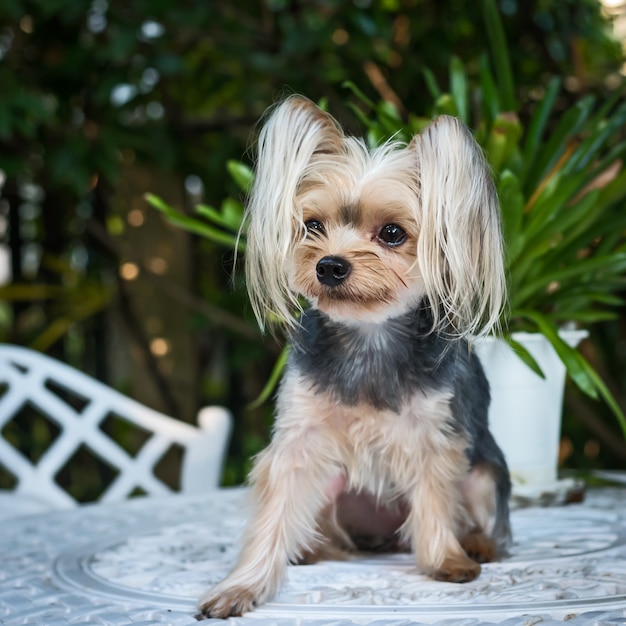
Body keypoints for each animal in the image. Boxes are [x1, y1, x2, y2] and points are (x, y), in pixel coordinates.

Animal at [197, 95, 510, 616]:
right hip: (332, 489)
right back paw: (310, 549)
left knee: (487, 516)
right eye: (312, 226)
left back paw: (478, 545)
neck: (368, 337)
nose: (330, 265)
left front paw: (447, 561)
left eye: (392, 233)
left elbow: (435, 500)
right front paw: (241, 586)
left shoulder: (434, 436)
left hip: (484, 471)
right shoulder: (299, 439)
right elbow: (273, 512)